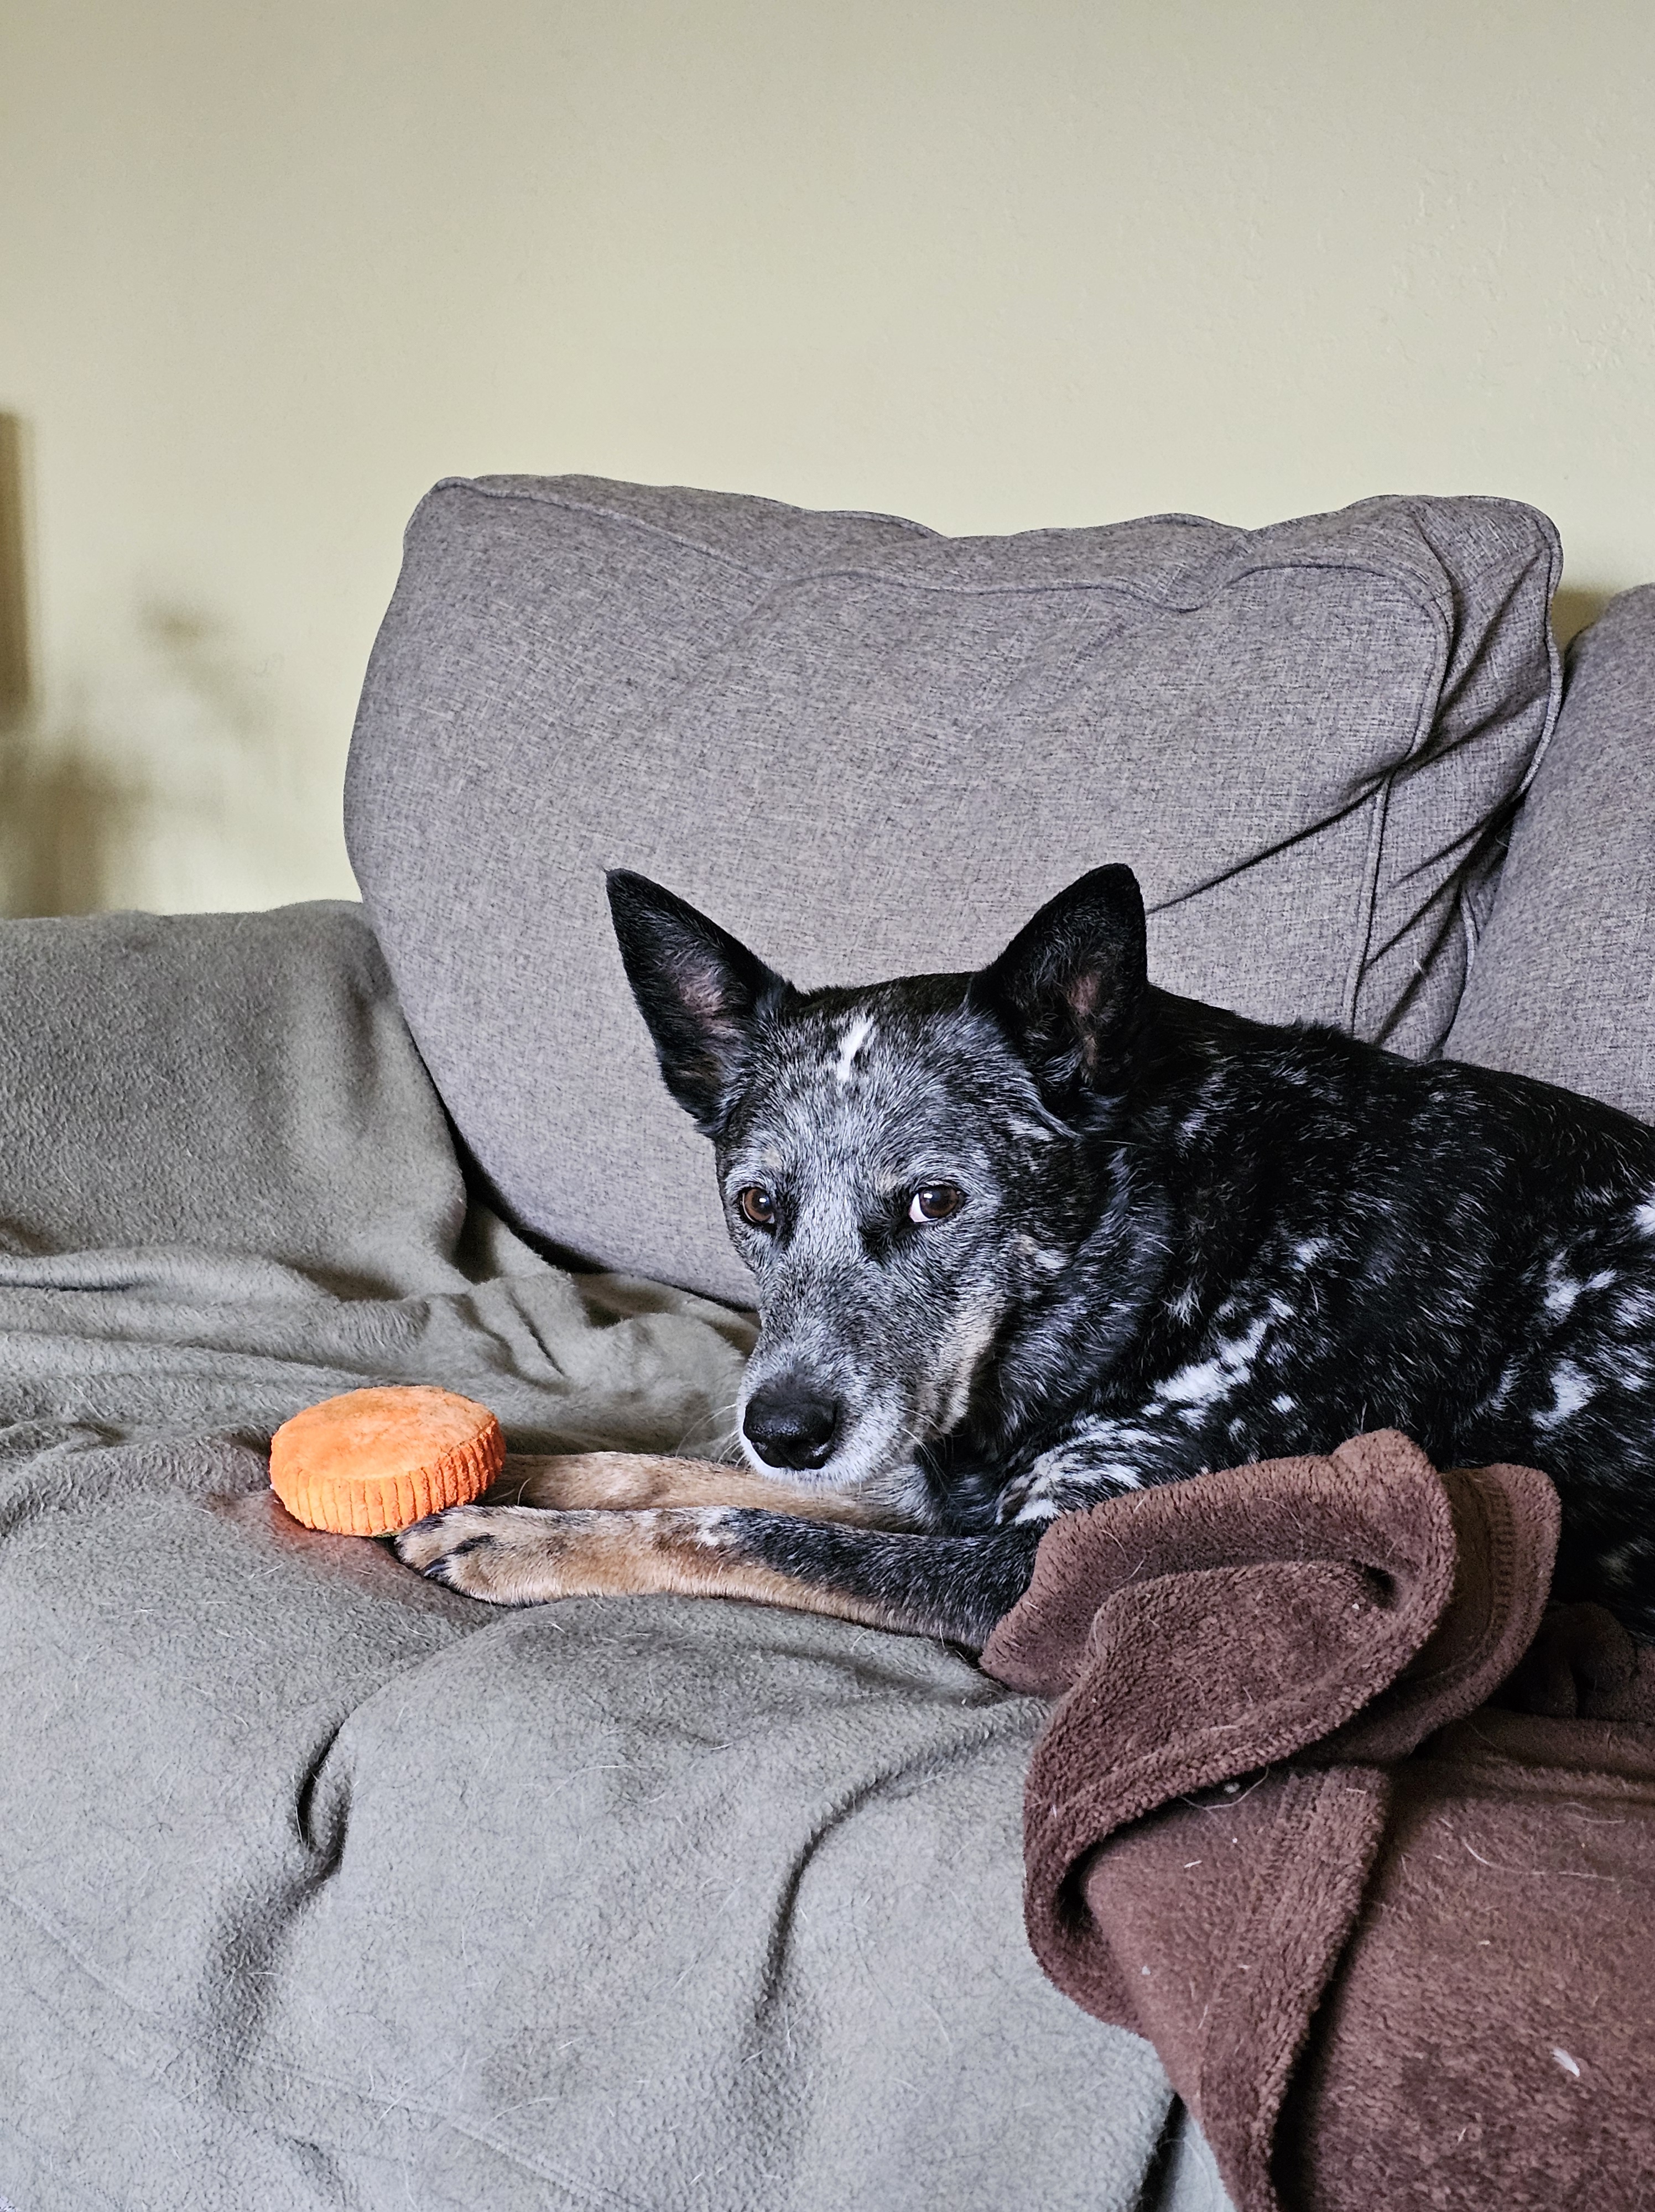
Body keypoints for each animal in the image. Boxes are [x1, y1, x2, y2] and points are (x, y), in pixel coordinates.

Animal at [397, 864, 1655, 1648]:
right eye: (755, 1203)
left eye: (933, 1201)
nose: (785, 1428)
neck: (1168, 1248)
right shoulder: (936, 1476)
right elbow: (686, 1478)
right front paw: (537, 1474)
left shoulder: (1052, 1570)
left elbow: (741, 1526)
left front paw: (514, 1539)